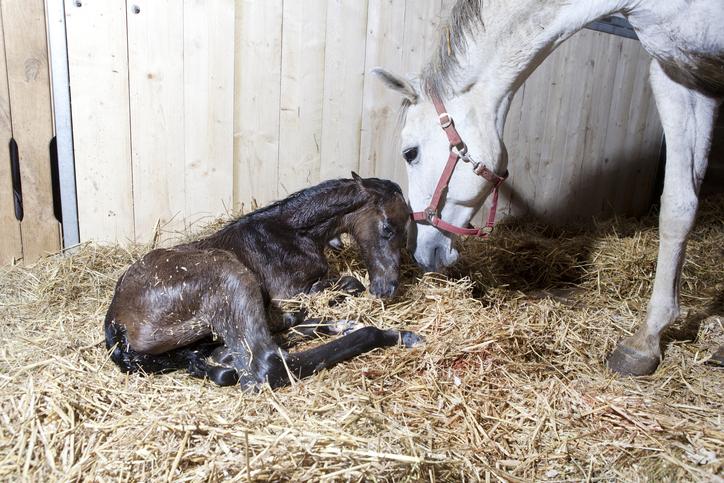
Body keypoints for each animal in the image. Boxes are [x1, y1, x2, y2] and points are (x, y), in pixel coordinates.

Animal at [103, 174, 418, 390]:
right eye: (388, 228)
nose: (388, 288)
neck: (290, 232)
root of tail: (115, 322)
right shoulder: (290, 292)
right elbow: (350, 284)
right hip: (230, 275)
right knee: (267, 364)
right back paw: (392, 334)